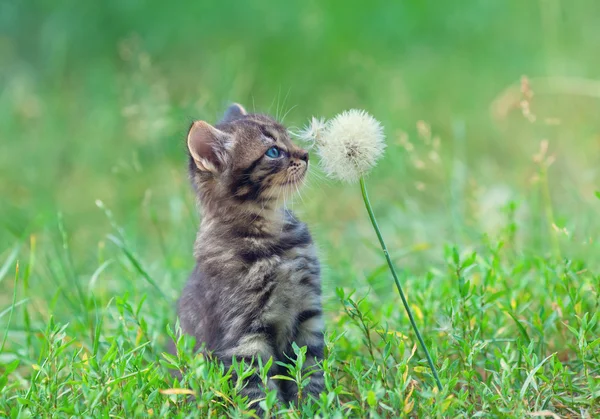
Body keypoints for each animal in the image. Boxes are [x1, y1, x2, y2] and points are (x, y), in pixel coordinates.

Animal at [176, 104, 326, 410]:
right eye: (273, 151)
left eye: (288, 137)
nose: (305, 153)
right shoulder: (245, 334)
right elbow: (260, 391)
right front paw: (280, 413)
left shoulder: (308, 313)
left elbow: (310, 370)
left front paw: (315, 408)